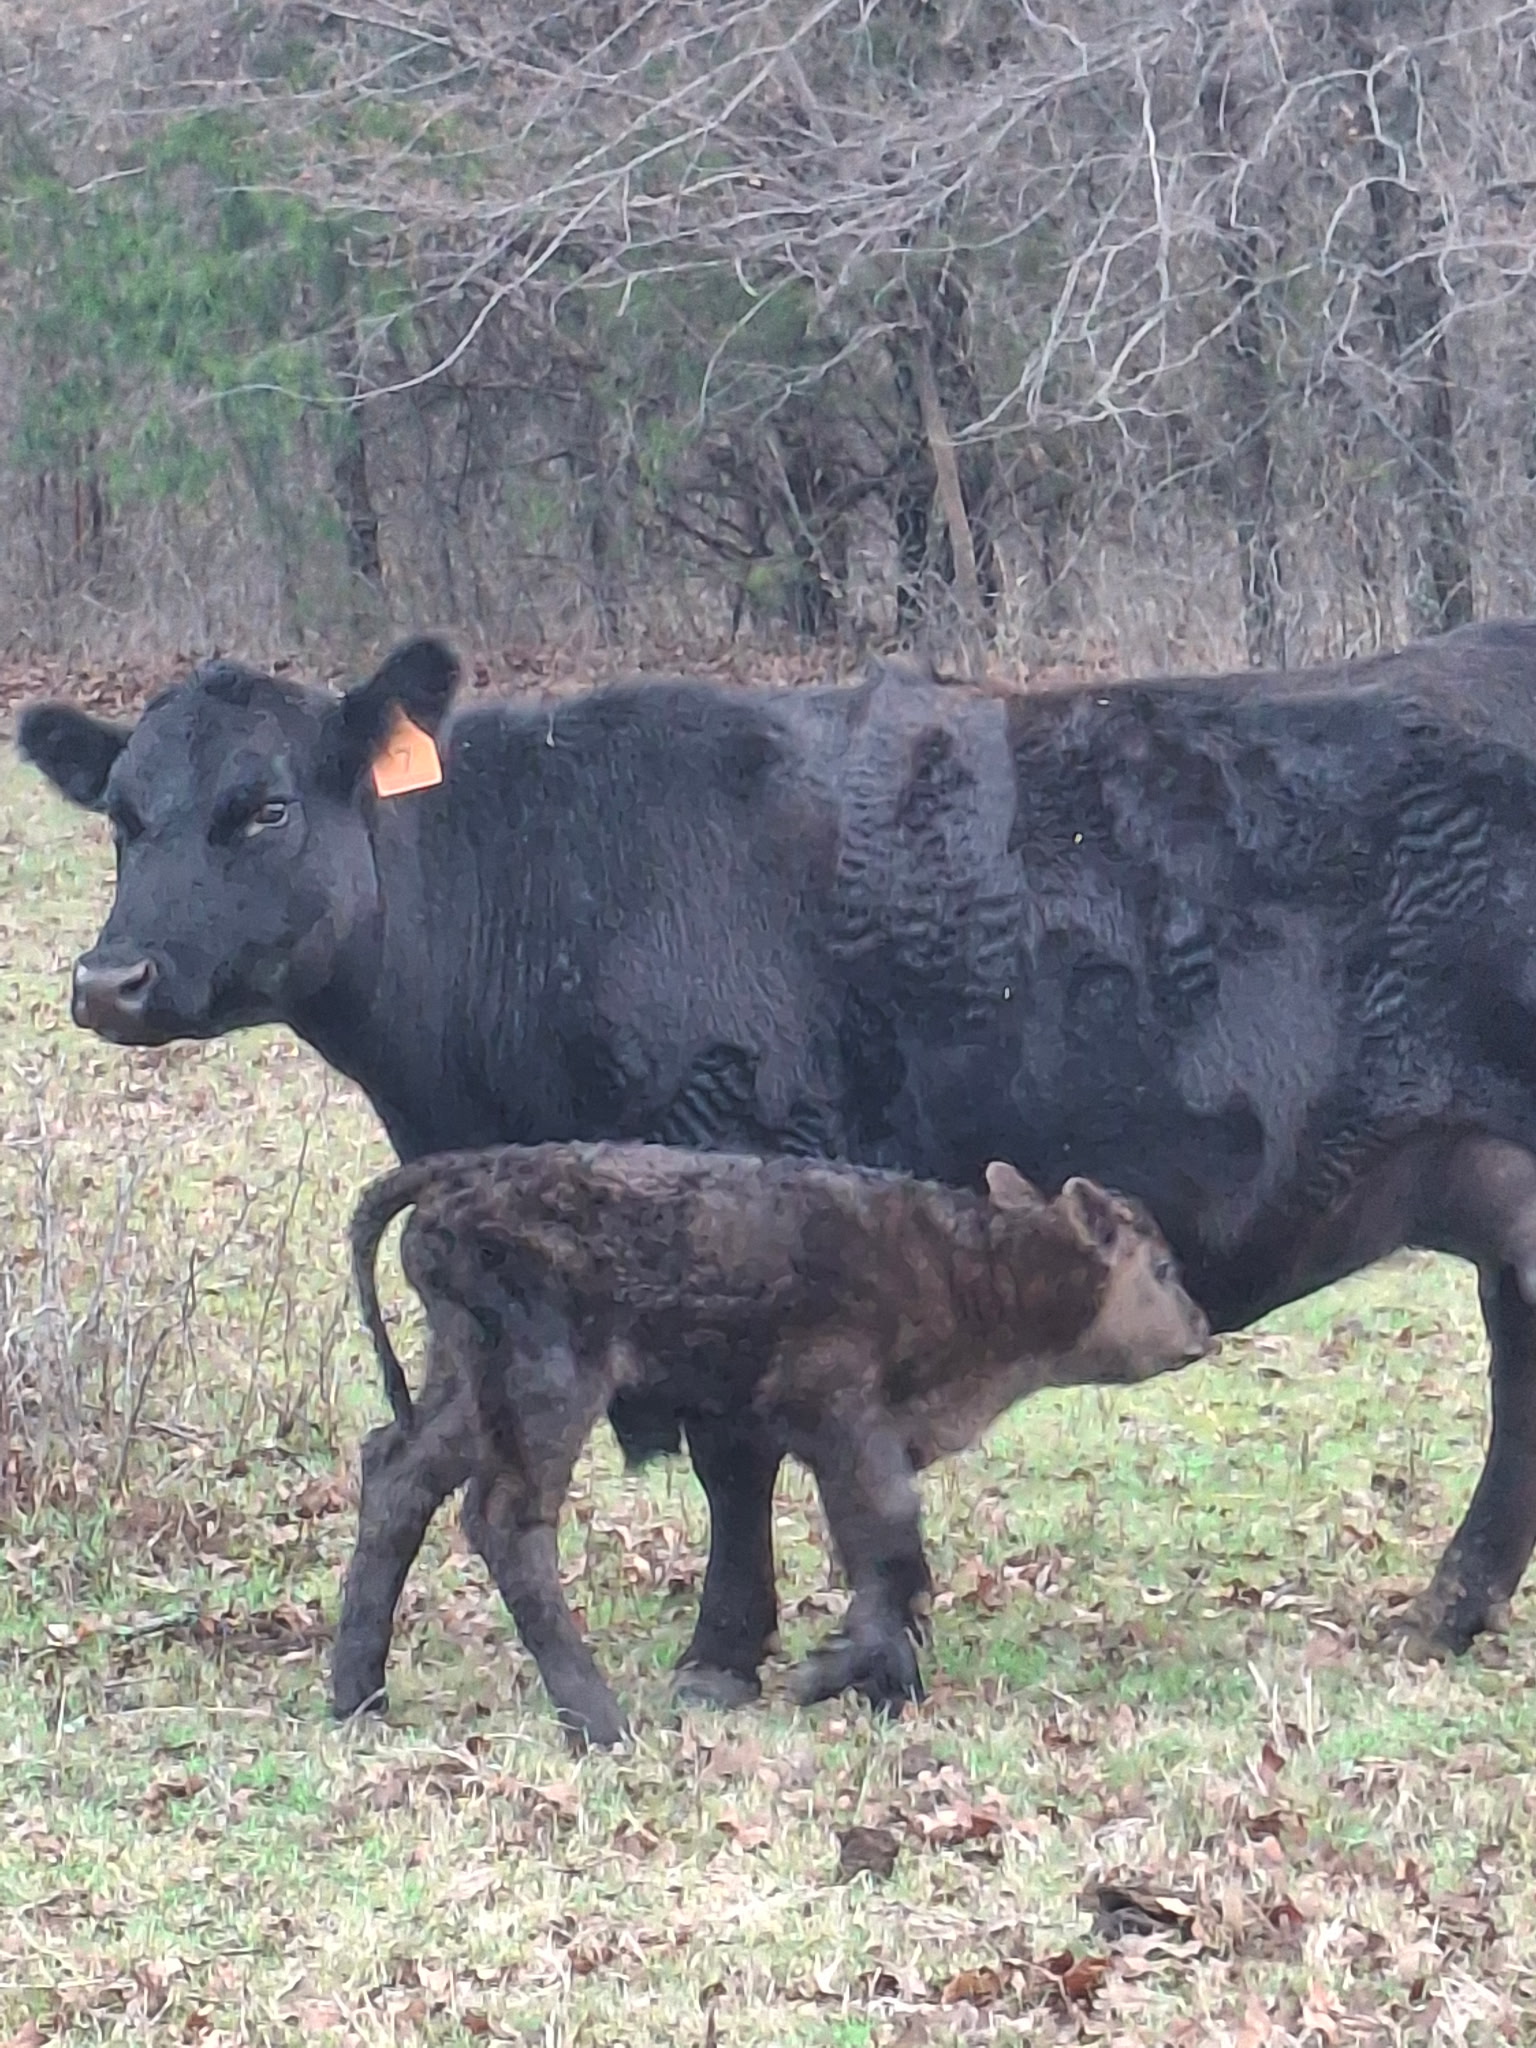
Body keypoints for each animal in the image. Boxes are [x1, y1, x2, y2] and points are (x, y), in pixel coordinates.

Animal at [348, 1141, 1211, 1743]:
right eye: (1165, 1267)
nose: (1202, 1332)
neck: (979, 1264)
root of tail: (460, 1178)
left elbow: (882, 1561)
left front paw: (879, 1683)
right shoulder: (843, 1421)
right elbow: (890, 1549)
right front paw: (839, 1675)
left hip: (466, 1385)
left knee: (398, 1476)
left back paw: (357, 1697)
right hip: (547, 1389)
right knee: (506, 1519)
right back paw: (600, 1724)